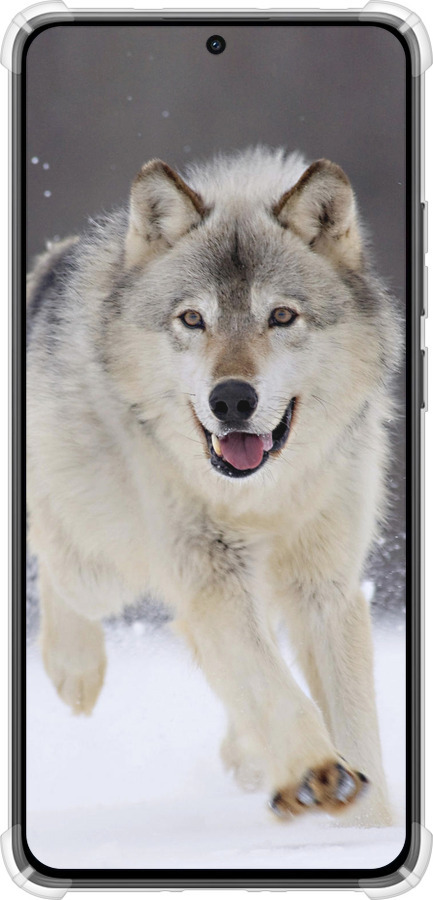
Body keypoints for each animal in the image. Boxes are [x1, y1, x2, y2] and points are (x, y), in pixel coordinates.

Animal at [27, 147, 401, 826]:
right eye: (193, 319)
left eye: (281, 316)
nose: (231, 399)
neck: (261, 497)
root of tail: (51, 262)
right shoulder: (211, 574)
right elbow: (274, 687)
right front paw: (315, 773)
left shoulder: (325, 586)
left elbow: (354, 722)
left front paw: (369, 827)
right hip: (104, 566)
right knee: (54, 557)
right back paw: (75, 670)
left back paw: (248, 757)